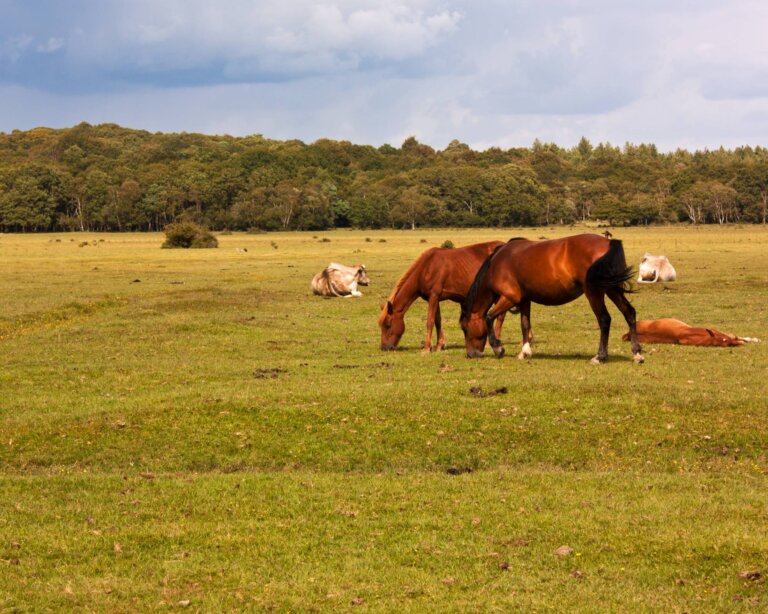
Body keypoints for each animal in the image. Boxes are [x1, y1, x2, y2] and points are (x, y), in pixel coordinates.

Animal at [380, 242, 510, 354]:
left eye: (388, 325)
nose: (384, 348)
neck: (426, 267)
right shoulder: (435, 298)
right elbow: (438, 321)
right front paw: (439, 345)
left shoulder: (433, 296)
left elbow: (430, 322)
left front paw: (427, 348)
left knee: (500, 316)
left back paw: (491, 343)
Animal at [460, 233, 644, 364]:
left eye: (465, 329)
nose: (471, 354)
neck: (497, 263)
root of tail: (608, 243)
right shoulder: (524, 299)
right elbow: (525, 324)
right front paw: (524, 352)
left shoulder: (510, 298)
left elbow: (489, 317)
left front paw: (498, 348)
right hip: (612, 288)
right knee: (629, 313)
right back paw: (637, 353)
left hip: (594, 291)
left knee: (605, 319)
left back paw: (600, 356)